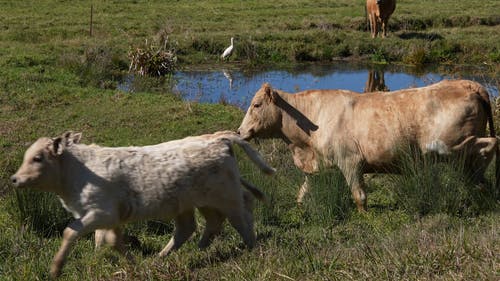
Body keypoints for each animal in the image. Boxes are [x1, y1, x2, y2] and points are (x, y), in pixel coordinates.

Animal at [10, 130, 274, 276]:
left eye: (37, 158)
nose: (14, 179)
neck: (77, 171)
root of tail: (218, 138)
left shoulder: (100, 213)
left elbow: (71, 232)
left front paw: (56, 268)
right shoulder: (109, 218)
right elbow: (109, 241)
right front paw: (126, 263)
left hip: (227, 197)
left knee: (242, 216)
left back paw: (252, 249)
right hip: (193, 203)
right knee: (195, 227)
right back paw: (171, 255)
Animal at [238, 79, 500, 210]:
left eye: (257, 105)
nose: (240, 131)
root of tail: (467, 84)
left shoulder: (350, 161)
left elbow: (359, 195)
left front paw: (364, 216)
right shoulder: (318, 164)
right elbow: (304, 190)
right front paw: (301, 208)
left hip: (448, 145)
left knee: (490, 144)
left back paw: (480, 181)